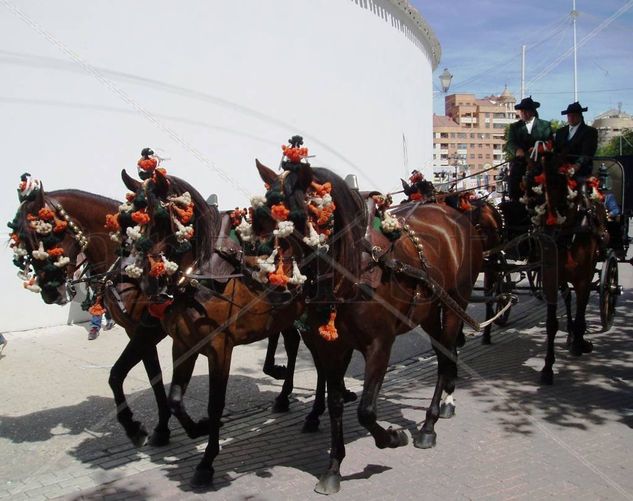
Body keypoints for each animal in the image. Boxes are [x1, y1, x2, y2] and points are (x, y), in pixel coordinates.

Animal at [253, 160, 484, 492]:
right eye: (258, 215)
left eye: (299, 216)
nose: (272, 284)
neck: (352, 272)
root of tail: (452, 216)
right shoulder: (330, 348)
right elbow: (336, 402)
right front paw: (333, 468)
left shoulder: (379, 345)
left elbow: (366, 411)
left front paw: (393, 437)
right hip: (428, 313)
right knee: (444, 352)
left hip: (456, 303)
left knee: (445, 357)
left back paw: (429, 425)